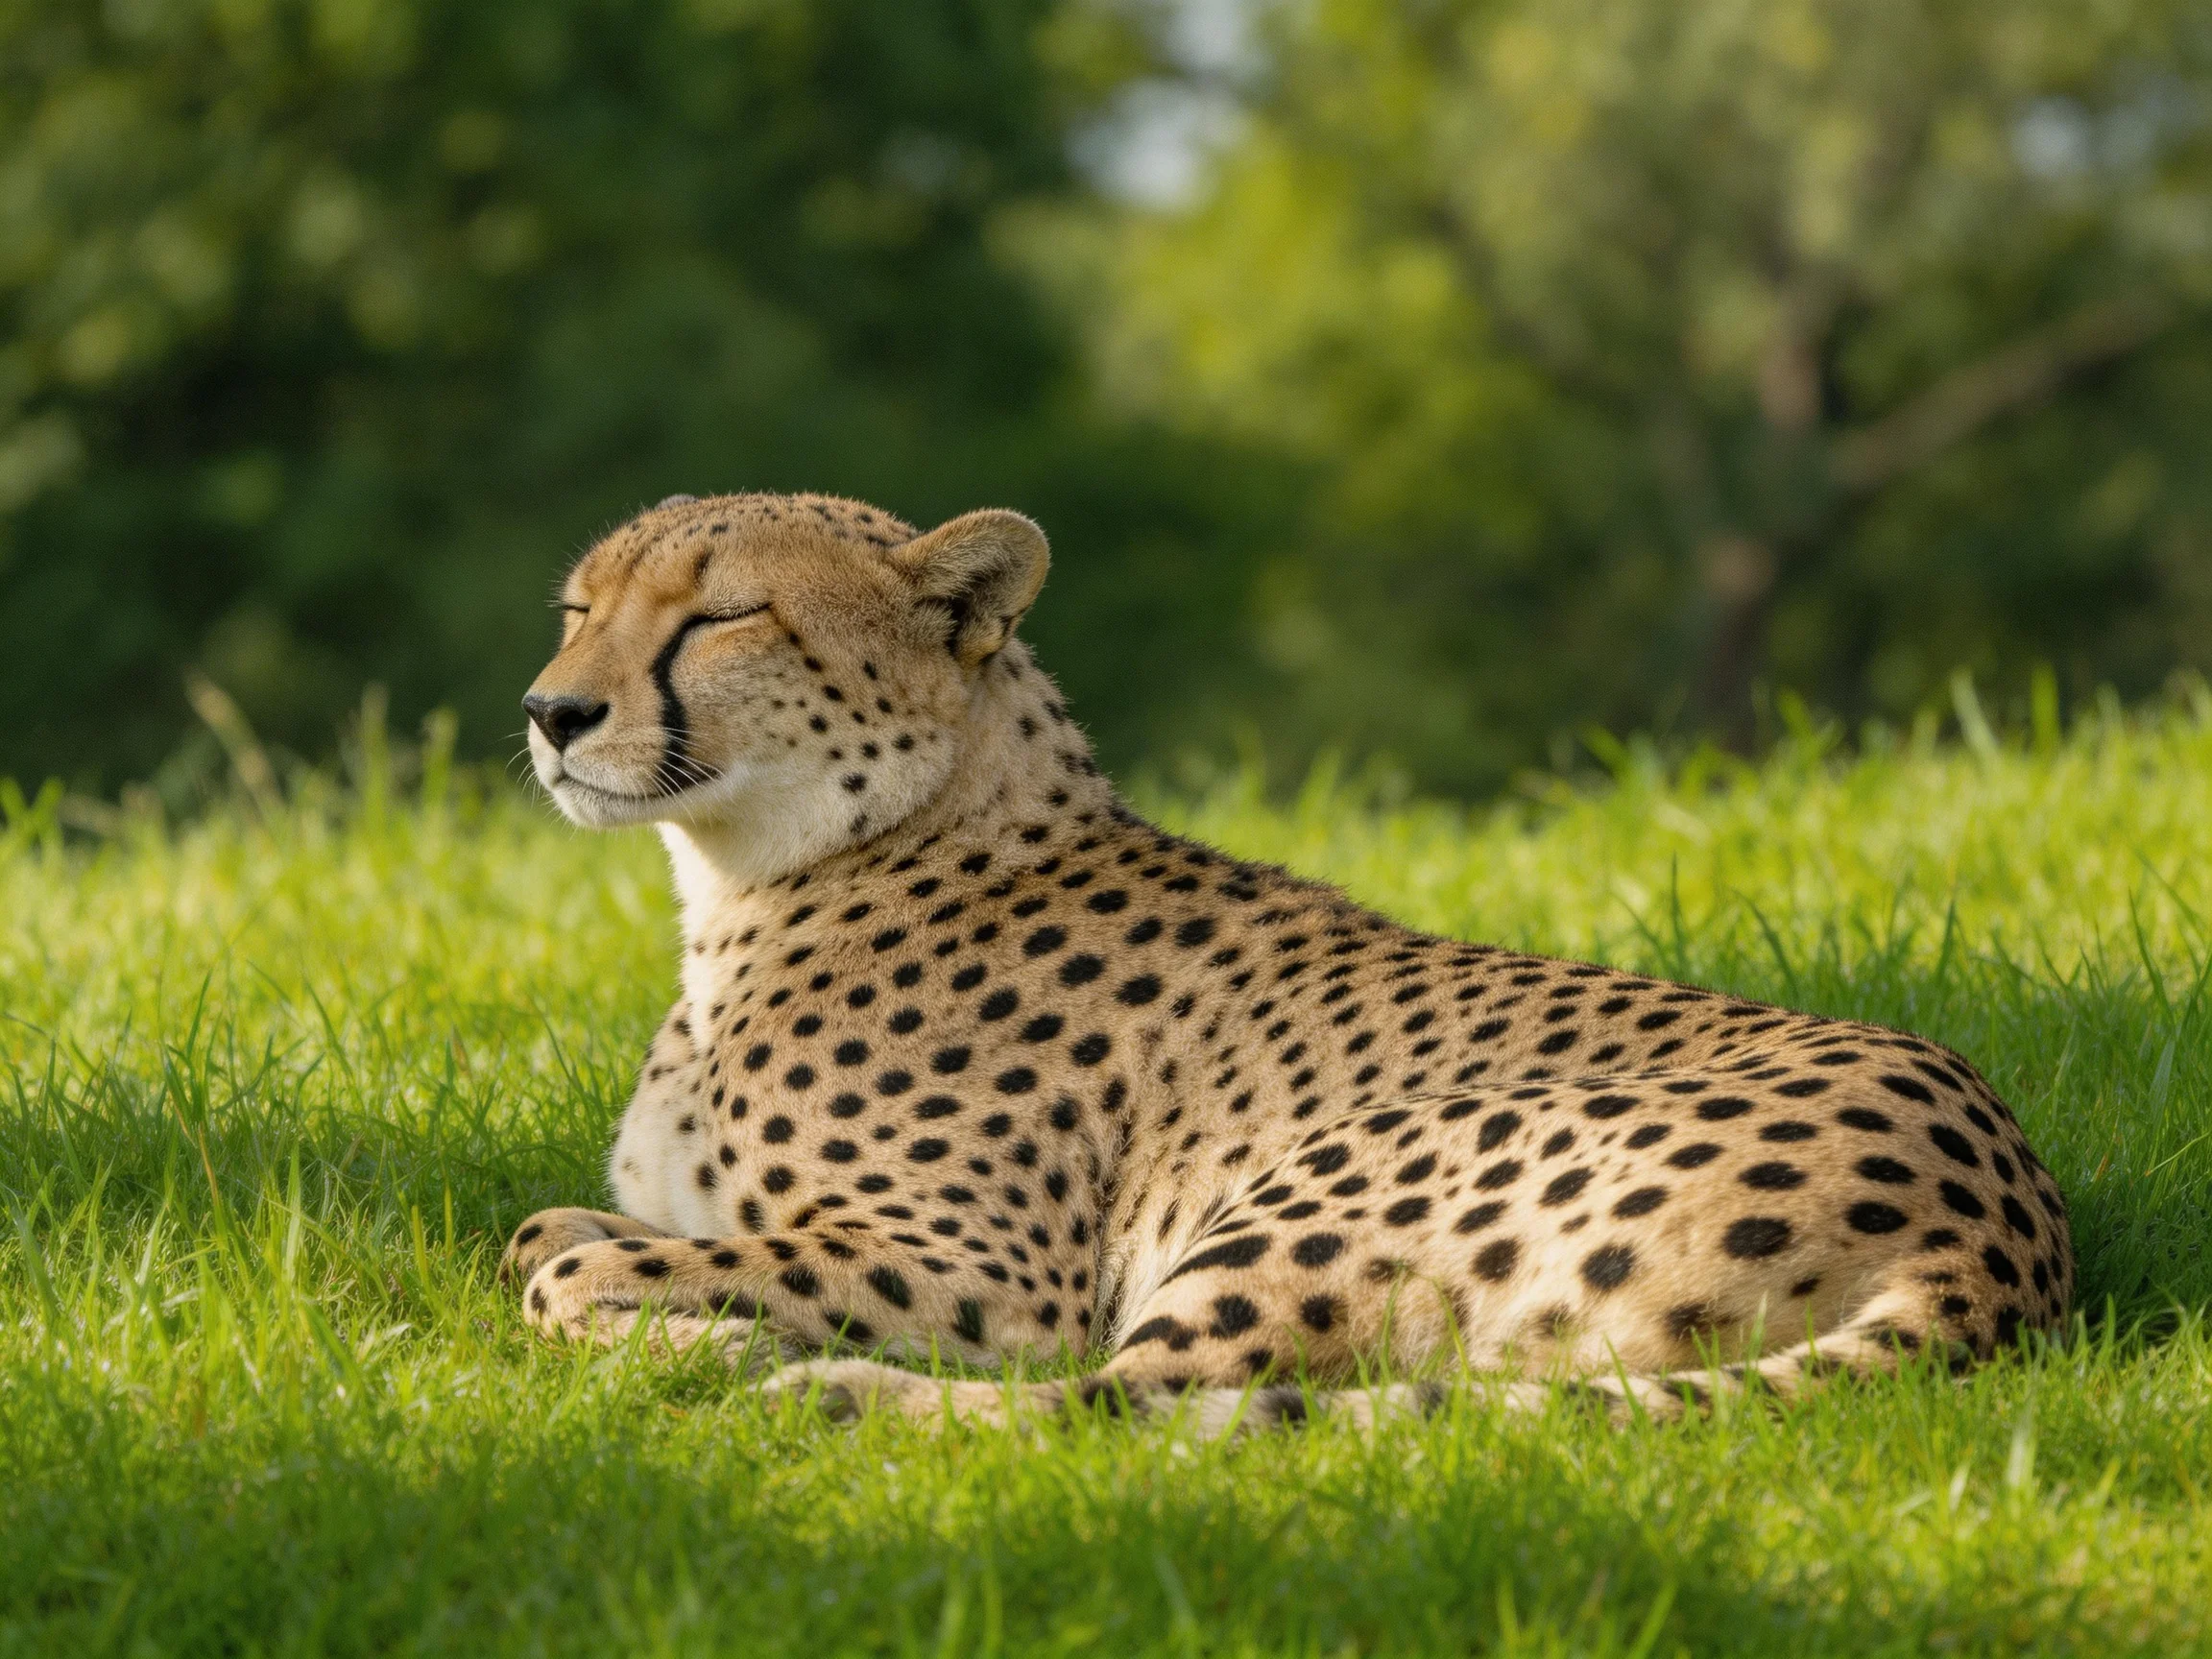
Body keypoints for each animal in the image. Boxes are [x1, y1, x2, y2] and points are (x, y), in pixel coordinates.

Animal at [500, 489, 2074, 1432]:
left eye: (722, 615)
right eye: (578, 609)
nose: (551, 712)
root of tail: (2009, 1228)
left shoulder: (995, 1281)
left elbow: (566, 1275)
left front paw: (688, 1336)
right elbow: (542, 1236)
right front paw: (645, 1299)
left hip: (1317, 1177)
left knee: (1131, 1412)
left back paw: (797, 1388)